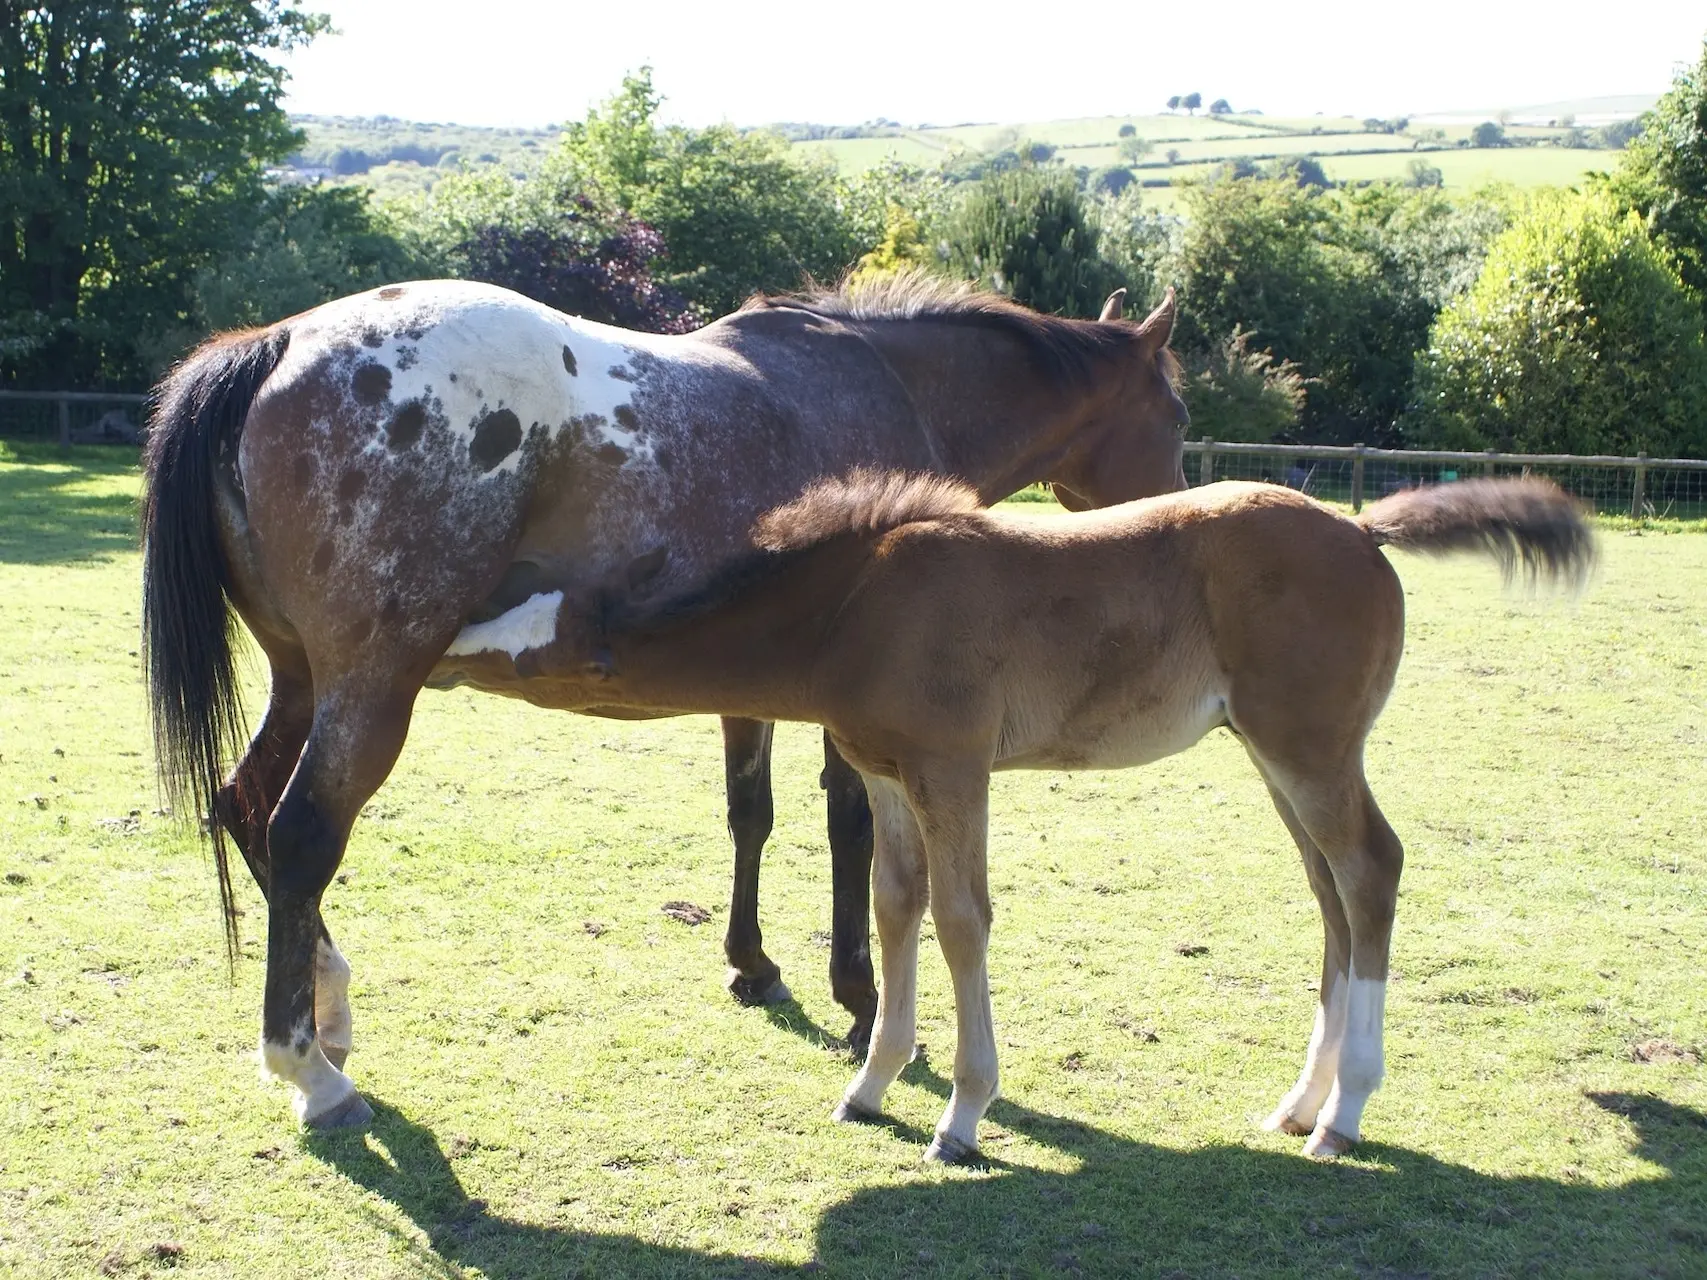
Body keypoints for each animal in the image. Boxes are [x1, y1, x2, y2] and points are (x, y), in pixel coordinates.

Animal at [143, 273, 1188, 1133]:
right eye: (1177, 414)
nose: (1180, 507)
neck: (886, 381)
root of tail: (278, 343)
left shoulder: (761, 681)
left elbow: (750, 814)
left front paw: (753, 963)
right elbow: (847, 829)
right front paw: (857, 998)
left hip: (303, 682)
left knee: (244, 807)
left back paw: (329, 1007)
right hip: (371, 688)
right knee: (301, 835)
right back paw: (311, 1073)